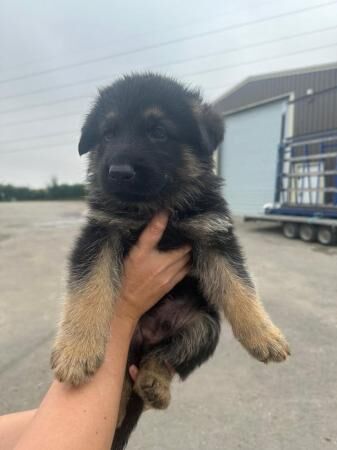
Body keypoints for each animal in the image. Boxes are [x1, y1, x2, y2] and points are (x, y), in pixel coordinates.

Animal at [50, 74, 288, 450]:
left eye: (159, 132)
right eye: (107, 134)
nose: (117, 172)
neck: (156, 205)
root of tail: (147, 335)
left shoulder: (213, 234)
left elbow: (238, 285)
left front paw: (264, 335)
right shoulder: (101, 234)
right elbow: (88, 289)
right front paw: (76, 350)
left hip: (204, 328)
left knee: (162, 359)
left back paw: (155, 386)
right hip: (128, 342)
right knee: (124, 377)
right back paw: (122, 405)